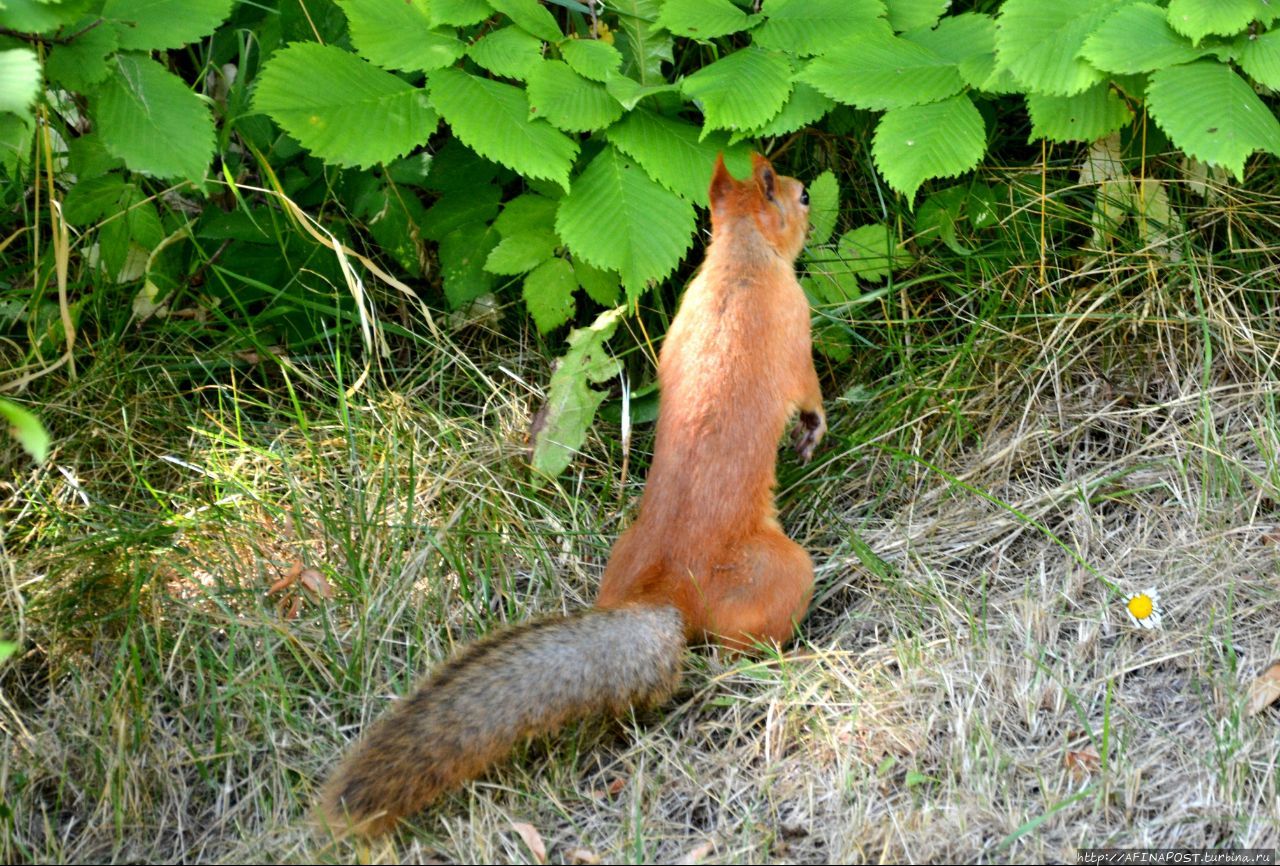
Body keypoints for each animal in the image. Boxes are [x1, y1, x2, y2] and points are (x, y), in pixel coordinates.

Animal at [314, 152, 824, 834]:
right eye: (798, 197)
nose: (809, 197)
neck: (737, 262)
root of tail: (665, 593)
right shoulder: (794, 326)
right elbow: (809, 388)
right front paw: (812, 430)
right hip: (780, 574)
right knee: (741, 645)